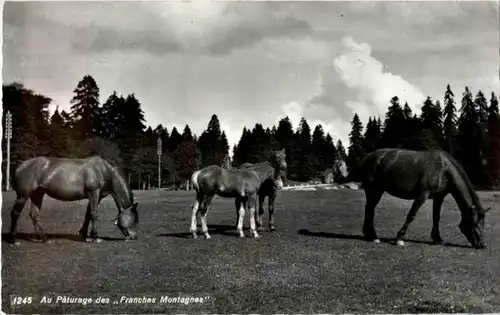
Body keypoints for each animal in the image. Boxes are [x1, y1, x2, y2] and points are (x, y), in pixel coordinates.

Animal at [9, 157, 139, 246]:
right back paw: (14, 240)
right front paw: (96, 237)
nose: (134, 237)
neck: (103, 170)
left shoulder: (96, 196)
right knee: (15, 213)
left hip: (37, 194)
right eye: (135, 220)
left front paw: (84, 235)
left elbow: (88, 215)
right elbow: (94, 214)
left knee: (34, 214)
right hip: (23, 196)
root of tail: (21, 164)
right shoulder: (93, 193)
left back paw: (44, 238)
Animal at [358, 148, 490, 249]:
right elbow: (411, 215)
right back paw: (373, 236)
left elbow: (436, 217)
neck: (444, 169)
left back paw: (370, 235)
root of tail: (368, 157)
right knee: (369, 210)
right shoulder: (423, 195)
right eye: (475, 224)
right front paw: (399, 238)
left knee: (369, 209)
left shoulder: (438, 197)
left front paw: (437, 239)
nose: (482, 245)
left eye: (483, 224)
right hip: (374, 190)